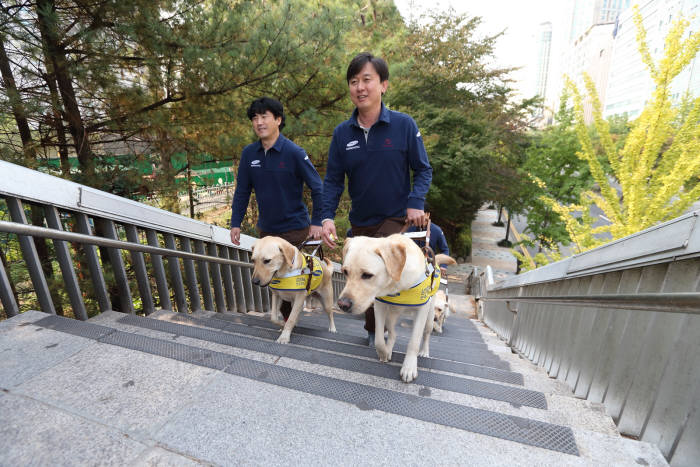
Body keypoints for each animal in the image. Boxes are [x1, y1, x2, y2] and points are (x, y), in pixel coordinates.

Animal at [338, 234, 440, 384]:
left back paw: (424, 352)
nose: (342, 305)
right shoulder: (379, 305)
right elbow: (379, 340)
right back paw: (389, 349)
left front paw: (409, 368)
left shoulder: (422, 308)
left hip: (429, 317)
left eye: (367, 275)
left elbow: (414, 342)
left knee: (426, 334)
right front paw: (384, 353)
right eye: (345, 272)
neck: (396, 284)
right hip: (391, 316)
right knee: (392, 334)